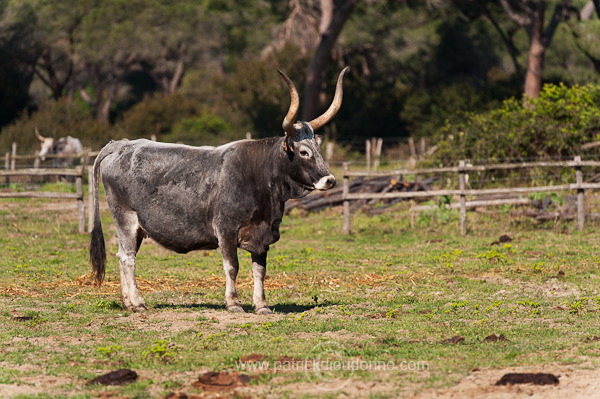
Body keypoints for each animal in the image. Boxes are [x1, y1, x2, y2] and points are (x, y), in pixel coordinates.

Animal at [86, 68, 344, 312]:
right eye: (304, 152)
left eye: (318, 149)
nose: (330, 180)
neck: (259, 174)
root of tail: (122, 144)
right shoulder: (226, 230)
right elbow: (232, 266)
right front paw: (233, 303)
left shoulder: (262, 237)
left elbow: (259, 271)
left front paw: (262, 305)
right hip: (125, 219)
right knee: (127, 258)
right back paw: (138, 302)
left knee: (122, 256)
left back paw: (128, 302)